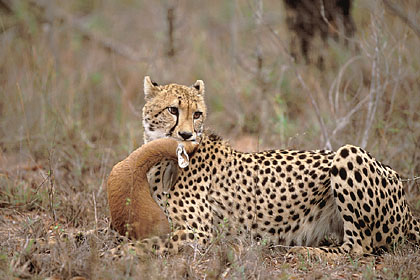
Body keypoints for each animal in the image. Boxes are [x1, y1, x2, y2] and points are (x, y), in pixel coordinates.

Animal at [110, 76, 420, 258]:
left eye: (197, 114)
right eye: (172, 110)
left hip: (348, 153)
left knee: (358, 248)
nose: (186, 135)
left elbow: (149, 244)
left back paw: (306, 251)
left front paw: (114, 255)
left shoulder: (198, 232)